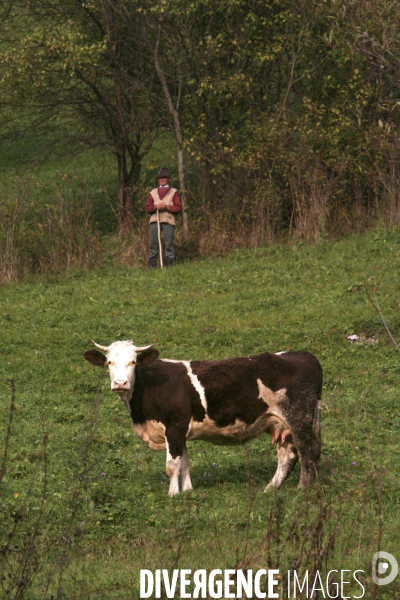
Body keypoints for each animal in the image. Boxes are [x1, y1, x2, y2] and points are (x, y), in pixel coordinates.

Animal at [83, 342, 322, 496]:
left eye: (133, 362)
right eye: (109, 362)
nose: (120, 383)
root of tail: (304, 355)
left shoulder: (174, 426)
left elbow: (172, 465)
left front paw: (173, 495)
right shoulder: (179, 432)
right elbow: (185, 463)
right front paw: (188, 491)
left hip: (299, 417)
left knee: (307, 451)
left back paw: (302, 488)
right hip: (280, 423)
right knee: (288, 455)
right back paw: (270, 489)